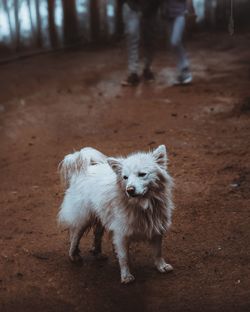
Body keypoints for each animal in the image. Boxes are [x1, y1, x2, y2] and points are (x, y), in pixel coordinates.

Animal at [58, 145, 174, 284]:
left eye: (142, 174)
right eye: (125, 177)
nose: (130, 190)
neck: (142, 205)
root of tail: (83, 170)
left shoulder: (156, 227)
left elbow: (158, 251)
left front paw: (161, 266)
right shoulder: (121, 234)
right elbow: (124, 257)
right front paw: (126, 276)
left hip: (101, 216)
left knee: (97, 234)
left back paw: (97, 253)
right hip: (84, 218)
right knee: (75, 235)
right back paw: (73, 255)